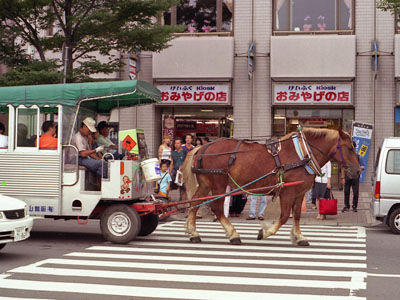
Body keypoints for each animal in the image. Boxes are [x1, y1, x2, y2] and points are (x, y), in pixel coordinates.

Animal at [182, 127, 362, 246]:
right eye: (349, 148)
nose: (358, 171)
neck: (304, 154)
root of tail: (203, 147)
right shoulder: (287, 192)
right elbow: (284, 217)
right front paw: (265, 232)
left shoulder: (299, 193)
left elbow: (296, 215)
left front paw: (299, 236)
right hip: (218, 184)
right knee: (217, 208)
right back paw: (233, 234)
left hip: (205, 184)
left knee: (194, 204)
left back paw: (194, 233)